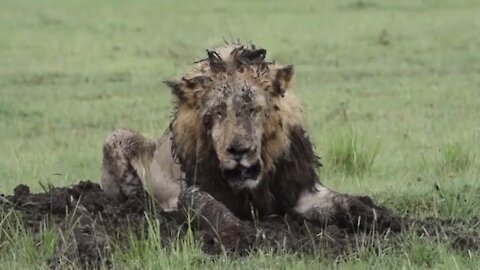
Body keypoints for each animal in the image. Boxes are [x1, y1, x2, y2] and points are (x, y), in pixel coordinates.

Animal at [101, 44, 390, 240]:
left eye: (254, 109)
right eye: (217, 112)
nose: (239, 151)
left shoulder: (300, 192)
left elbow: (344, 202)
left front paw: (380, 218)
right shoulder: (192, 188)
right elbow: (210, 207)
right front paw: (237, 234)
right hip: (115, 137)